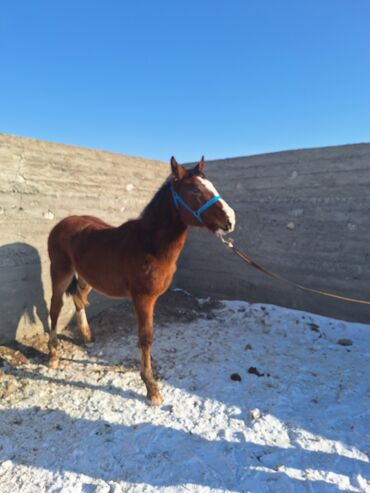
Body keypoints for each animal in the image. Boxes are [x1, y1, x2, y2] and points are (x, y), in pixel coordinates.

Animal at [47, 157, 236, 404]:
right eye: (195, 189)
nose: (230, 220)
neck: (149, 244)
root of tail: (62, 223)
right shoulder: (142, 299)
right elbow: (145, 338)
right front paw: (151, 387)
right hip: (60, 272)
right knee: (55, 307)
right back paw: (53, 355)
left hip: (87, 277)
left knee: (79, 298)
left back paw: (87, 336)